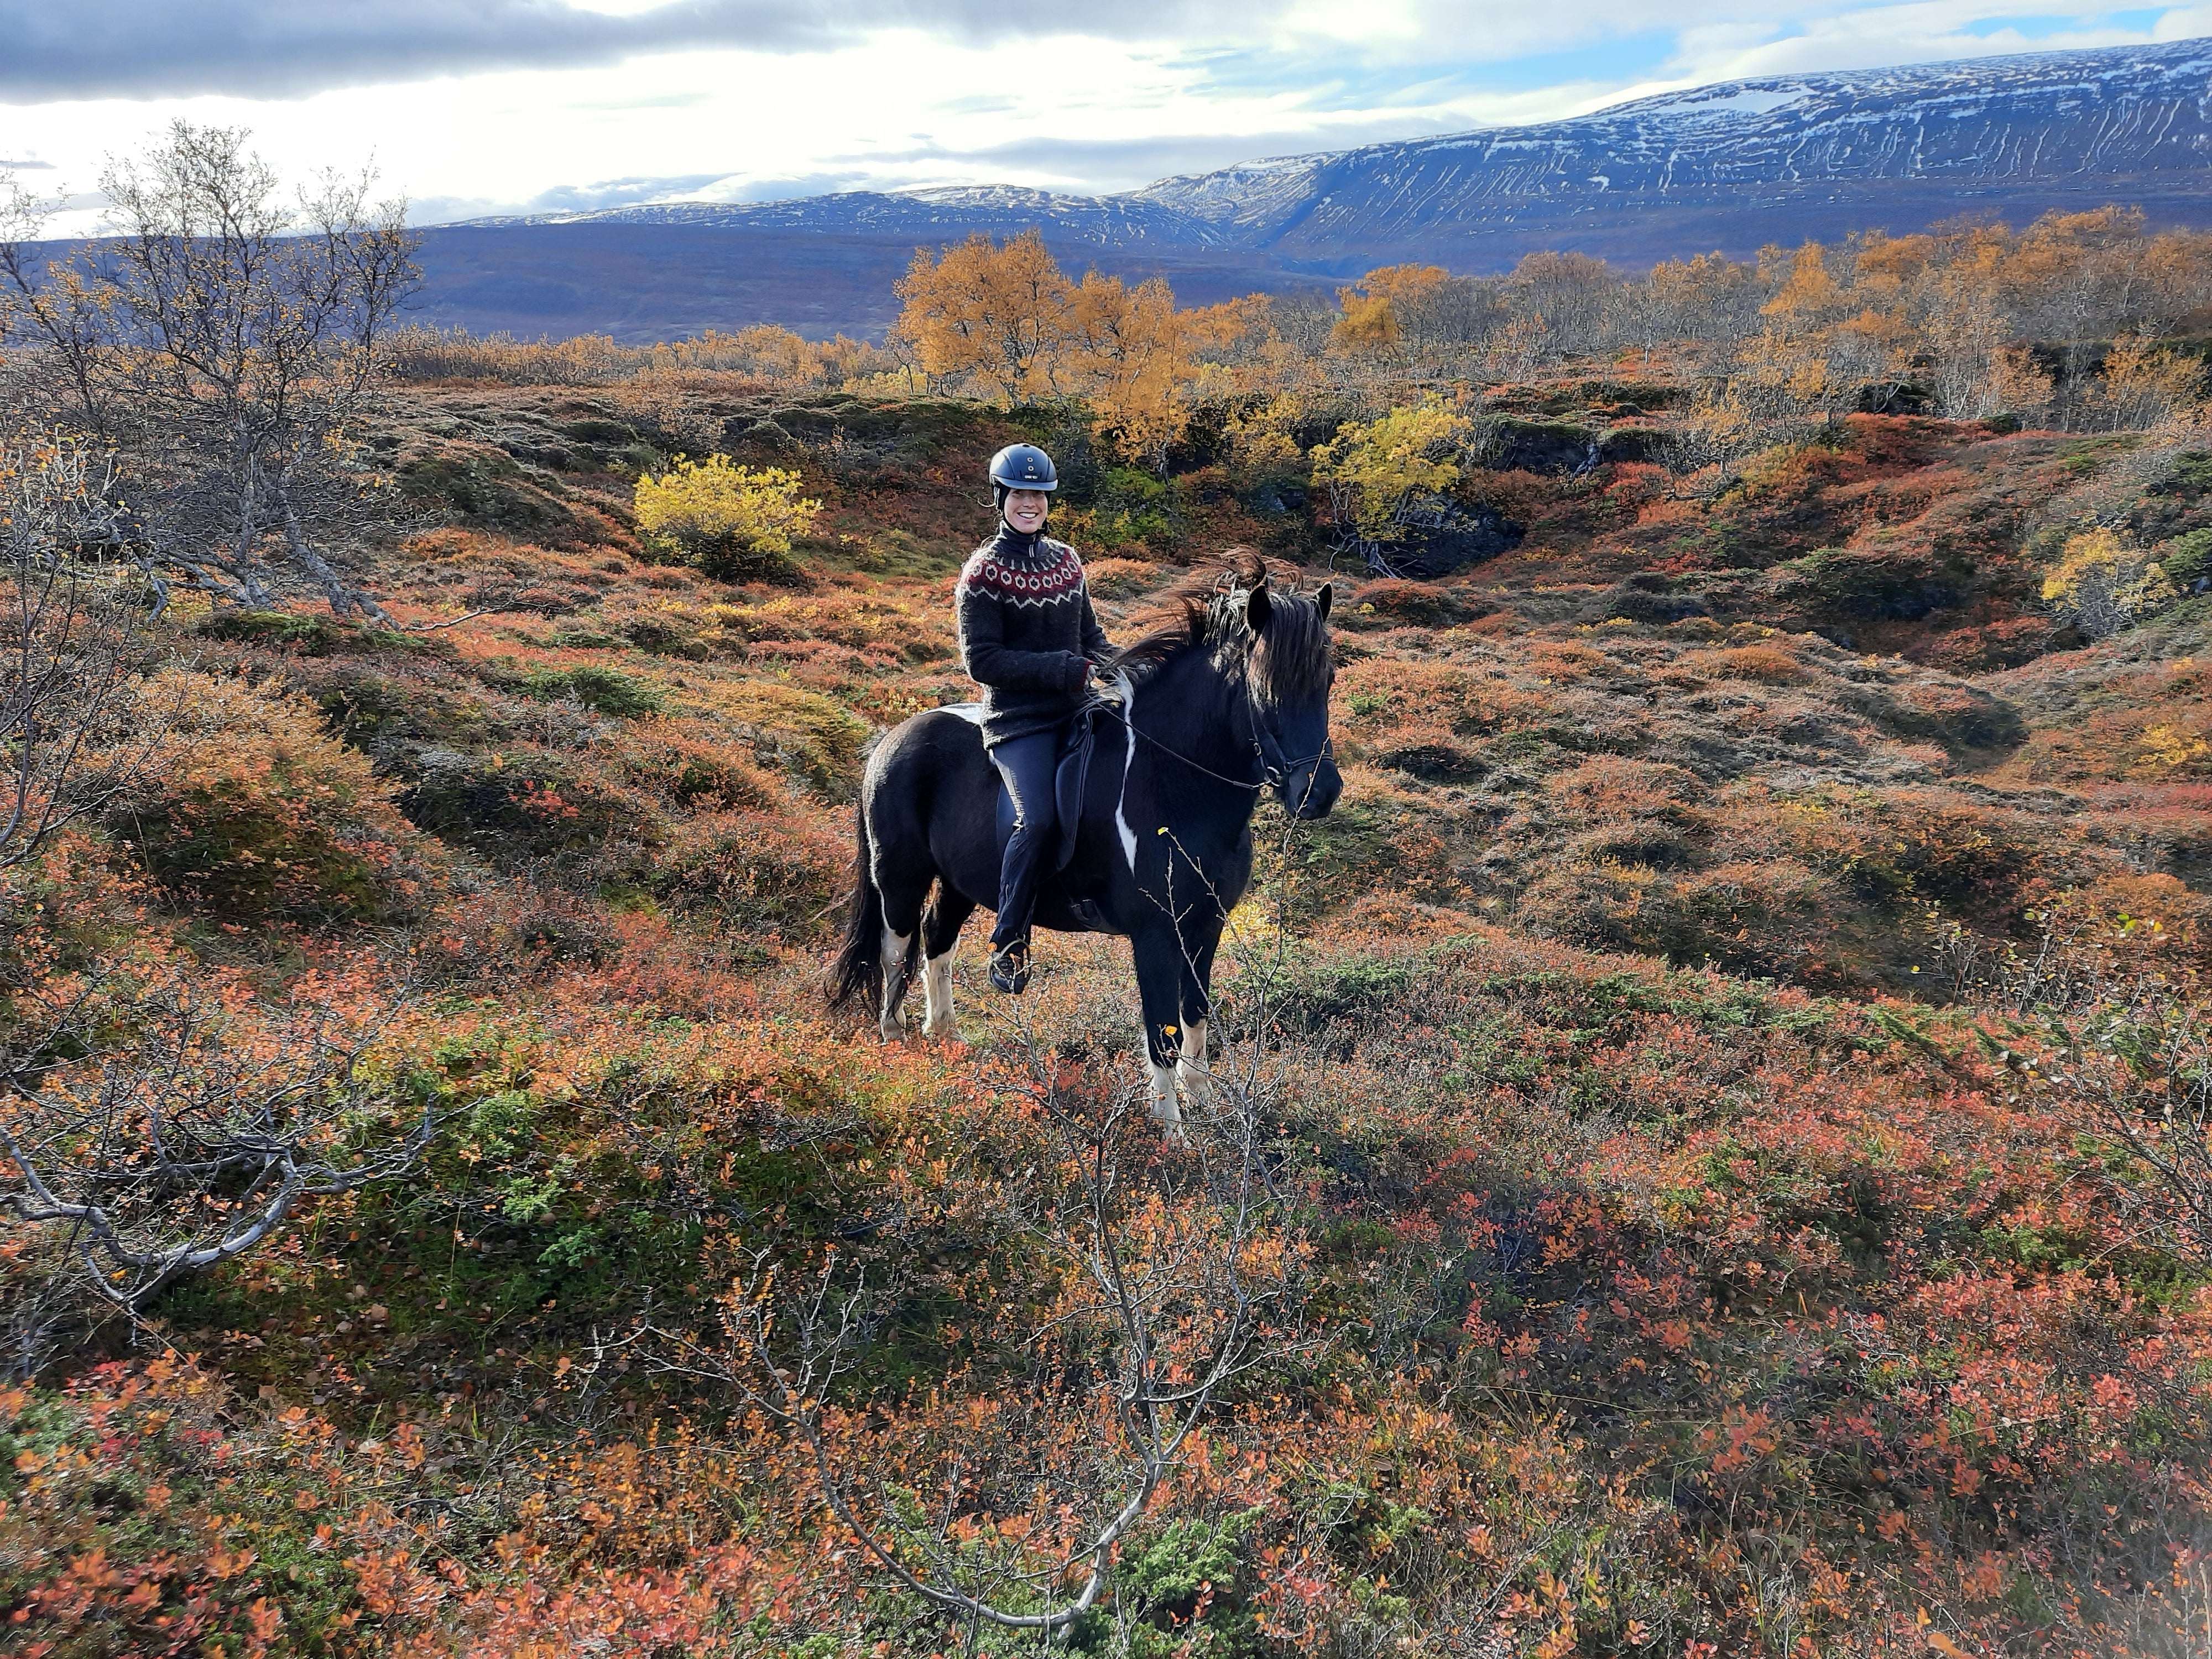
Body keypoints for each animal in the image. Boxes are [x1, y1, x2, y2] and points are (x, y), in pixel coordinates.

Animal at [829, 551, 1342, 1133]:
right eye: (1265, 689)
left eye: (1326, 681)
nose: (1319, 793)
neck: (1173, 782)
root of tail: (893, 737)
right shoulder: (1155, 936)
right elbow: (1163, 1035)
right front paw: (1173, 1137)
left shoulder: (1205, 926)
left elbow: (1196, 1018)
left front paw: (1207, 1110)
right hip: (899, 876)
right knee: (896, 950)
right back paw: (896, 1044)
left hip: (963, 880)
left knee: (938, 940)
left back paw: (948, 1040)